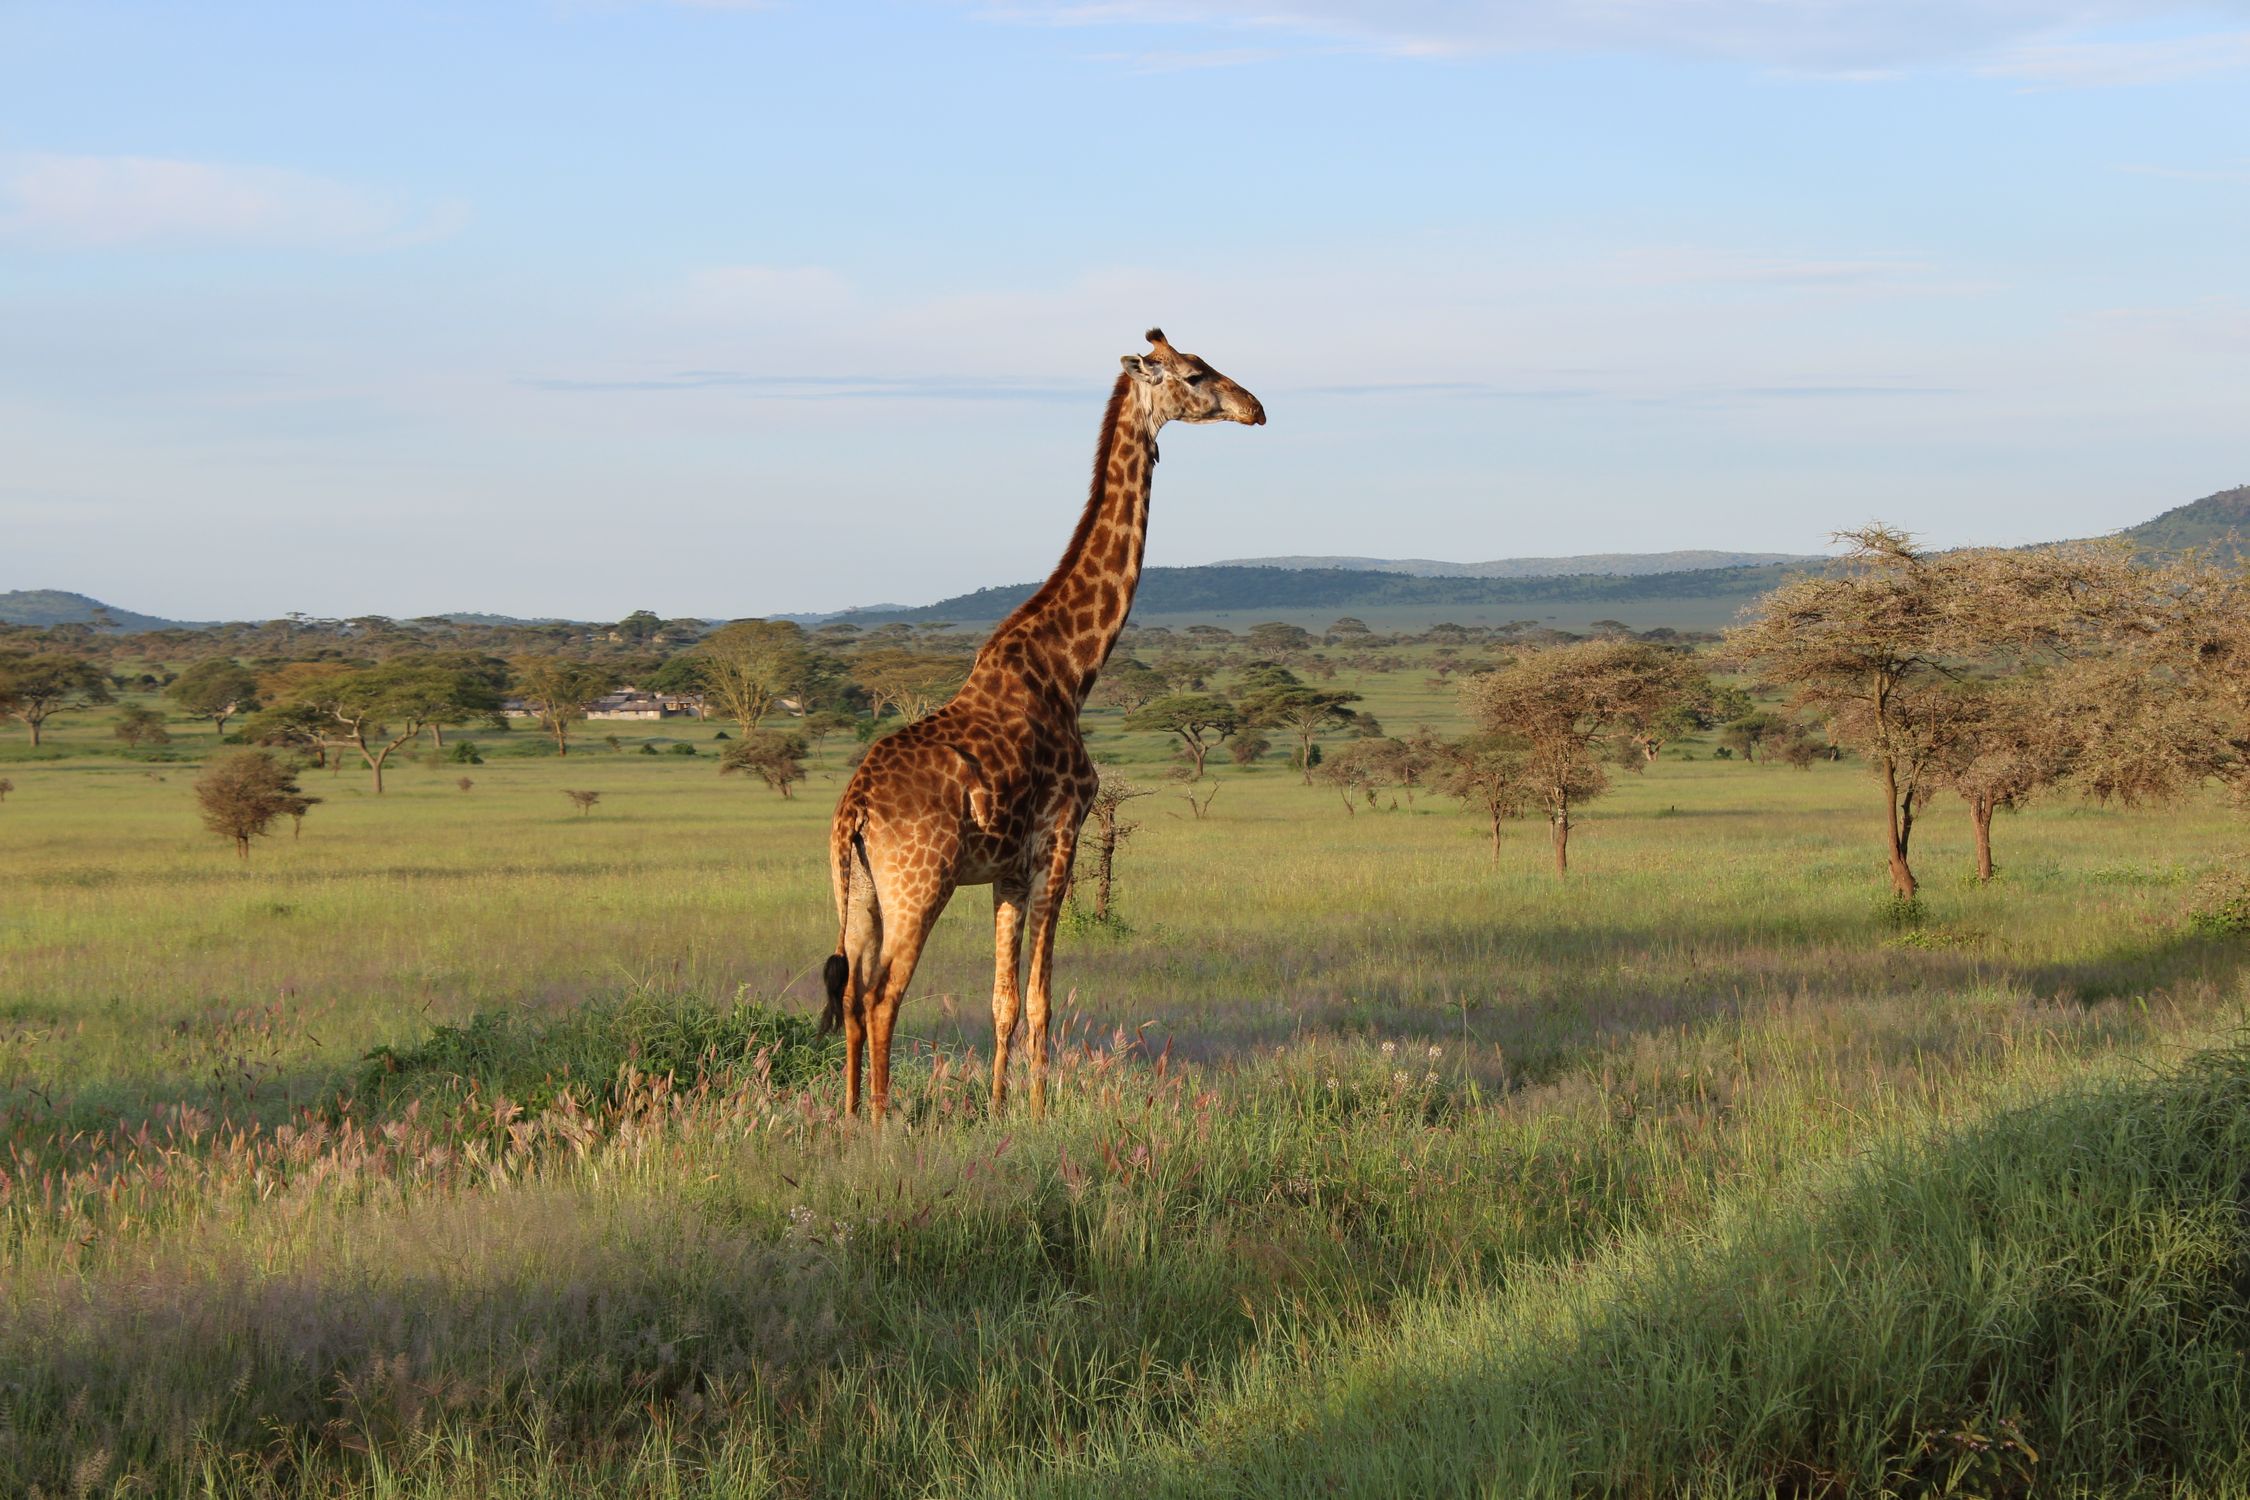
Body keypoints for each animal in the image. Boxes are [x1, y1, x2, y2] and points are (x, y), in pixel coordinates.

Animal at [820, 329, 1266, 1120]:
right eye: (1194, 373)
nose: (1256, 408)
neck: (1070, 670)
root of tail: (856, 813)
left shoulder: (1006, 869)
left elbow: (1001, 999)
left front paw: (1000, 1107)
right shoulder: (1061, 837)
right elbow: (1041, 999)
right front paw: (1035, 1112)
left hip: (856, 892)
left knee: (849, 994)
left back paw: (844, 1120)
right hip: (919, 885)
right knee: (882, 997)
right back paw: (881, 1123)